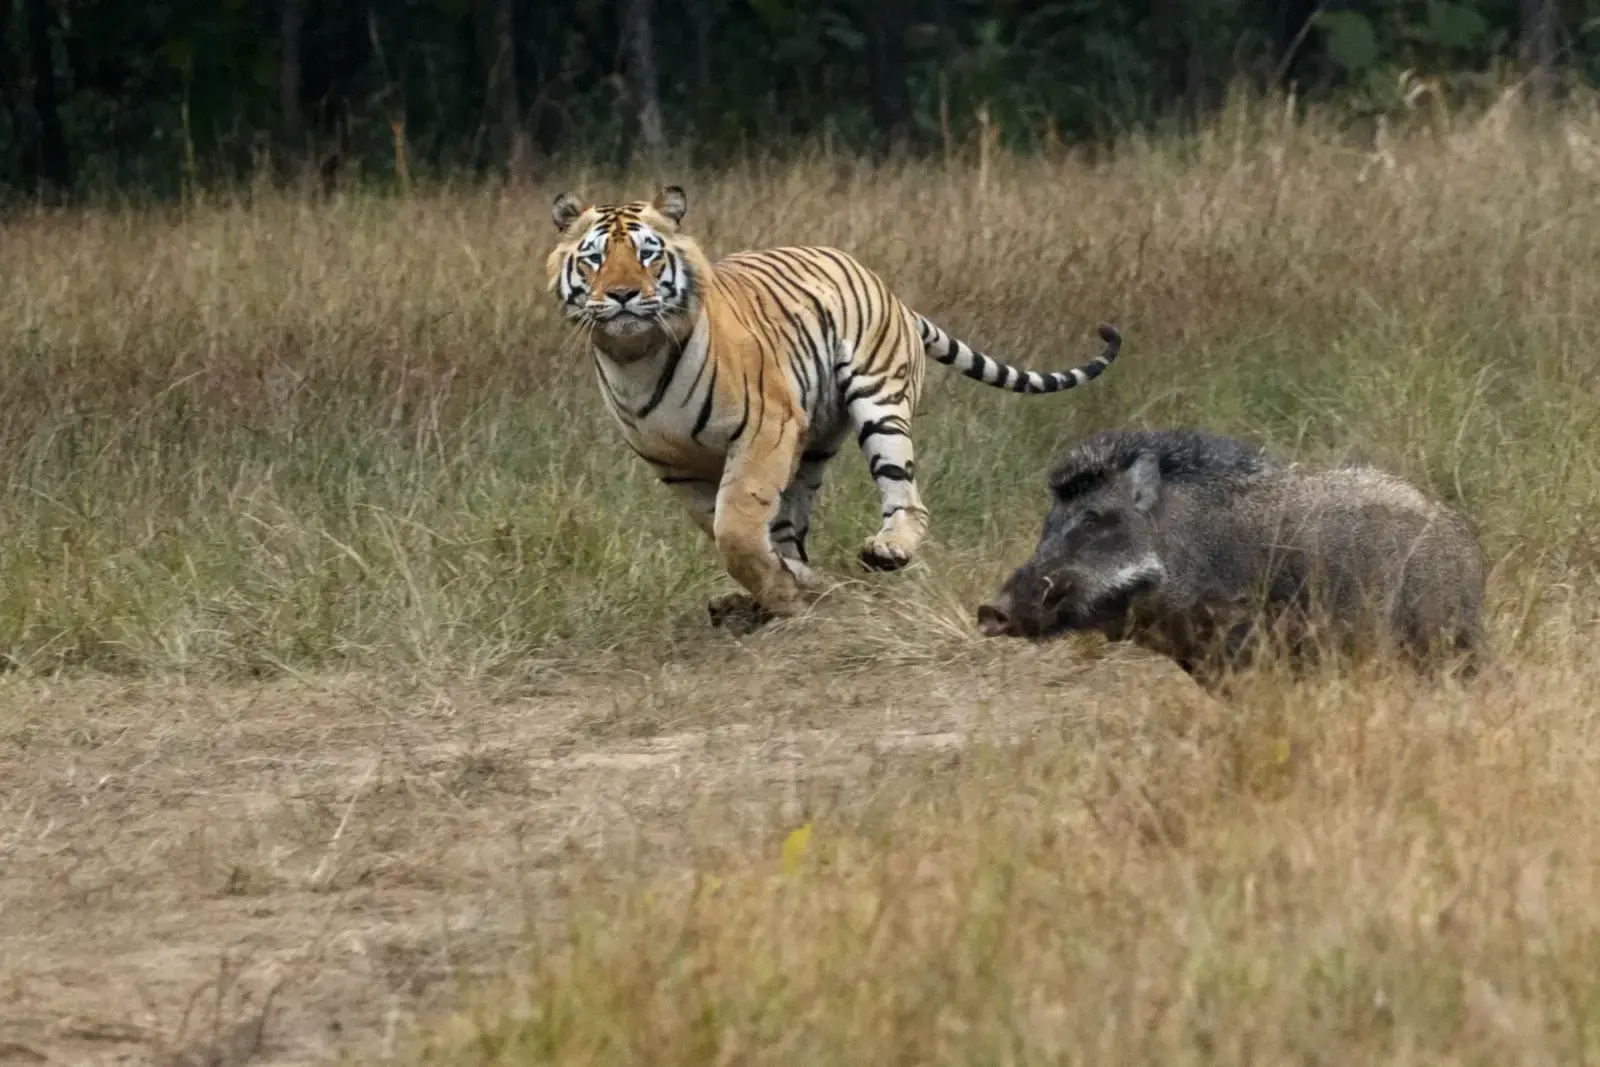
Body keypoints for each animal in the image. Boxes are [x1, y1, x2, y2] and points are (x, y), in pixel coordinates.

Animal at [546, 184, 1122, 626]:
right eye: (595, 258)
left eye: (648, 253)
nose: (622, 295)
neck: (635, 358)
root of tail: (889, 290)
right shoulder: (676, 468)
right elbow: (733, 530)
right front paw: (787, 587)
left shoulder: (765, 429)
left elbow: (736, 530)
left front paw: (782, 596)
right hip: (813, 444)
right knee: (792, 523)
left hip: (878, 404)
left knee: (904, 494)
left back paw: (886, 550)